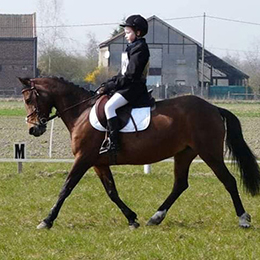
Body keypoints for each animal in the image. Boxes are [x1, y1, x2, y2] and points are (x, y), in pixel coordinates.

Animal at [18, 77, 260, 230]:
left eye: (29, 100)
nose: (33, 129)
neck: (81, 112)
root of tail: (213, 108)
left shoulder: (83, 159)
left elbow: (65, 188)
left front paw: (47, 220)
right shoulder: (98, 163)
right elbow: (112, 192)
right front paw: (132, 219)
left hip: (210, 153)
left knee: (228, 181)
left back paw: (243, 219)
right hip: (184, 154)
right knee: (180, 184)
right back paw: (155, 218)